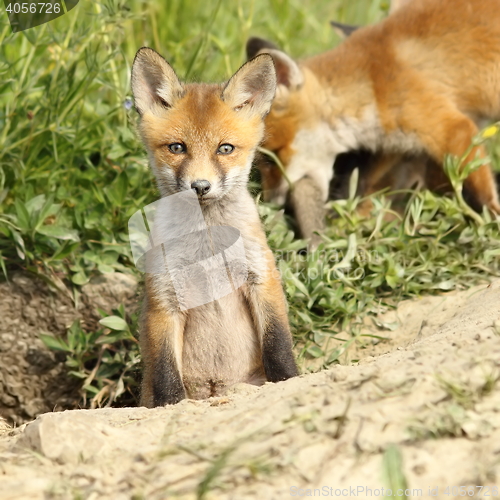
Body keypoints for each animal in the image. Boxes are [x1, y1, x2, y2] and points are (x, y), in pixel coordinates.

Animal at [131, 47, 298, 406]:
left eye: (225, 149)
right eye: (177, 147)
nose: (200, 186)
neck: (208, 242)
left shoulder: (262, 277)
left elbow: (278, 346)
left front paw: (289, 380)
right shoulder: (164, 298)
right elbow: (166, 376)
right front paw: (171, 406)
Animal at [249, 0, 500, 241]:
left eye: (272, 158)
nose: (269, 203)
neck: (371, 85)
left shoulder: (452, 128)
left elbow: (485, 198)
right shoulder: (397, 147)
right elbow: (373, 185)